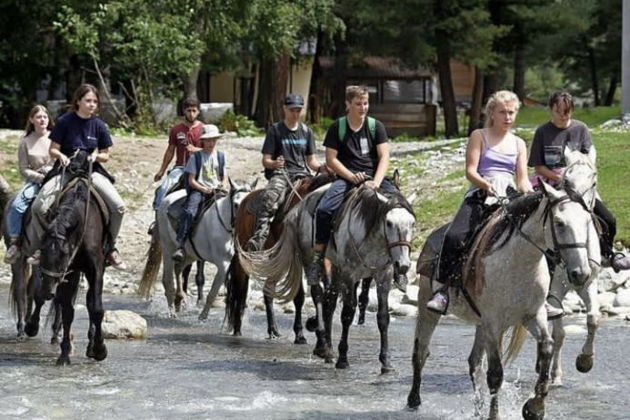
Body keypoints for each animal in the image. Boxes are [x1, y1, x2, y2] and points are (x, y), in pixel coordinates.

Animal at [38, 176, 108, 364]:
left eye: (64, 253)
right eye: (42, 250)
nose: (47, 291)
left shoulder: (96, 269)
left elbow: (96, 308)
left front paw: (100, 349)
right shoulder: (67, 273)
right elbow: (68, 312)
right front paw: (64, 354)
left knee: (91, 302)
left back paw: (92, 346)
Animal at [139, 179, 253, 316]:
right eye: (236, 204)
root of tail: (166, 199)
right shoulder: (223, 263)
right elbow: (213, 290)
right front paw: (203, 315)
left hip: (190, 254)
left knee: (178, 268)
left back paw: (179, 298)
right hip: (168, 249)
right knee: (168, 280)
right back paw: (172, 311)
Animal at [226, 174, 336, 342]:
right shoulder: (298, 259)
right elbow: (300, 296)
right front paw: (301, 333)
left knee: (267, 291)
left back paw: (273, 329)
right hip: (244, 257)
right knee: (240, 286)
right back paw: (238, 328)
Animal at [239, 182, 418, 372]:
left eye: (412, 223)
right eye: (389, 223)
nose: (403, 265)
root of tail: (299, 207)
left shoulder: (384, 276)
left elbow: (383, 318)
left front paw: (386, 362)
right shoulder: (349, 275)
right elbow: (347, 314)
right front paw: (343, 359)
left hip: (334, 269)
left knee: (329, 302)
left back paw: (326, 348)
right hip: (312, 261)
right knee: (318, 295)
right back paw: (323, 345)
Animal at [410, 183, 596, 420]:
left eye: (587, 222)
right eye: (560, 223)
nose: (581, 274)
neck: (518, 261)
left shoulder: (533, 315)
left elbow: (546, 348)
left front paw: (535, 407)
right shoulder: (493, 323)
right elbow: (495, 374)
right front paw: (495, 415)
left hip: (480, 323)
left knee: (474, 363)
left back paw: (478, 409)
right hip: (428, 308)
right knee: (421, 352)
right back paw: (414, 400)